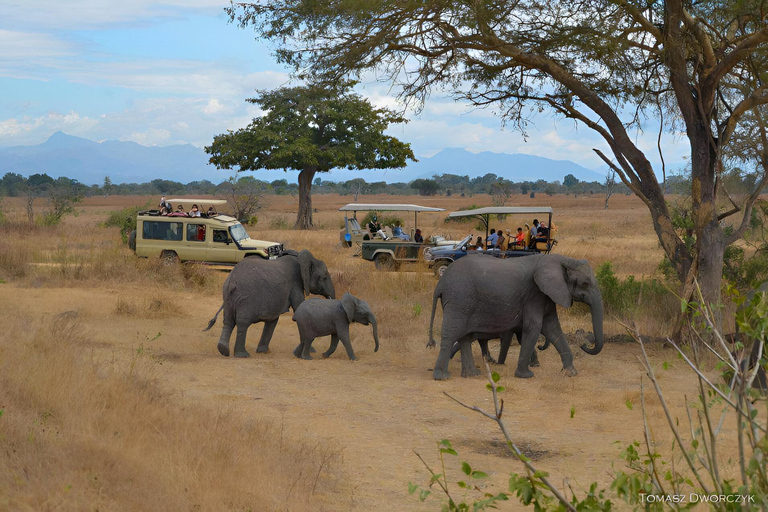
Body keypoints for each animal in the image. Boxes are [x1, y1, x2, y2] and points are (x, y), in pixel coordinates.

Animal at [204, 250, 336, 358]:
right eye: (324, 278)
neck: (300, 257)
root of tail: (232, 281)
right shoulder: (295, 284)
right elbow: (298, 308)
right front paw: (312, 351)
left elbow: (273, 319)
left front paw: (263, 351)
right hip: (246, 297)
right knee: (242, 322)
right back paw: (242, 355)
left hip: (228, 296)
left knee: (228, 321)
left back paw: (223, 350)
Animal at [428, 253, 604, 380]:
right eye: (585, 284)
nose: (583, 344)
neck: (564, 259)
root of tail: (440, 284)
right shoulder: (534, 294)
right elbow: (534, 327)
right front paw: (526, 376)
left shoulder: (546, 295)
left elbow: (553, 328)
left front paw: (571, 373)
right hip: (459, 298)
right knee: (452, 333)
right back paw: (442, 376)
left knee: (465, 337)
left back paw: (471, 374)